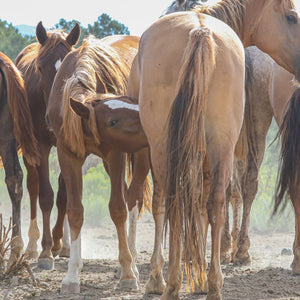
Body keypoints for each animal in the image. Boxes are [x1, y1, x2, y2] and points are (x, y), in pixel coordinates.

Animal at [15, 21, 80, 270]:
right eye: (40, 68)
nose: (54, 117)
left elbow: (64, 195)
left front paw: (60, 242)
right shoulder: (40, 146)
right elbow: (45, 195)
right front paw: (45, 251)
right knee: (33, 186)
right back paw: (33, 246)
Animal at [47, 34, 151, 292]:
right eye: (113, 121)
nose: (148, 118)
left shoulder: (115, 155)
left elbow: (118, 208)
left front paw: (128, 274)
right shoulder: (68, 155)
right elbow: (75, 210)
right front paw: (72, 275)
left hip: (141, 157)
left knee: (133, 199)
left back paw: (131, 261)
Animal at [126, 1, 300, 298]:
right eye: (291, 17)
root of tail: (201, 32)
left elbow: (176, 203)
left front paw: (171, 271)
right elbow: (203, 204)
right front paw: (199, 272)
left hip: (164, 146)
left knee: (170, 200)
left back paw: (168, 282)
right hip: (222, 144)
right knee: (217, 200)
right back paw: (214, 283)